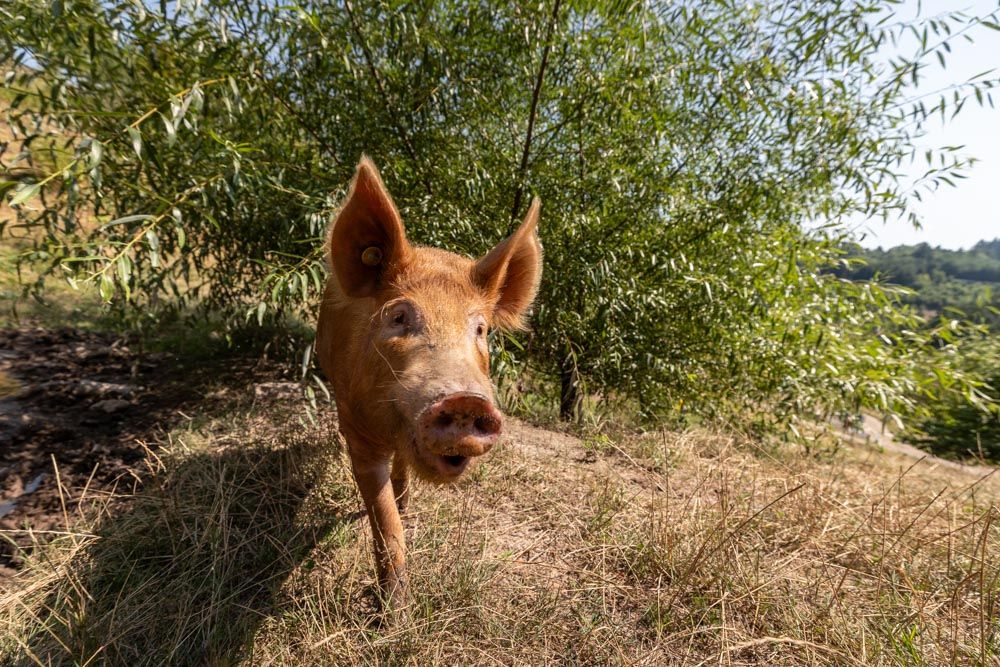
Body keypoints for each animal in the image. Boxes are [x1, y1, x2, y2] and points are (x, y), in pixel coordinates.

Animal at [316, 156, 542, 610]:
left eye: (480, 329)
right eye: (399, 316)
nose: (466, 400)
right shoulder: (354, 429)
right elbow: (383, 518)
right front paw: (394, 613)